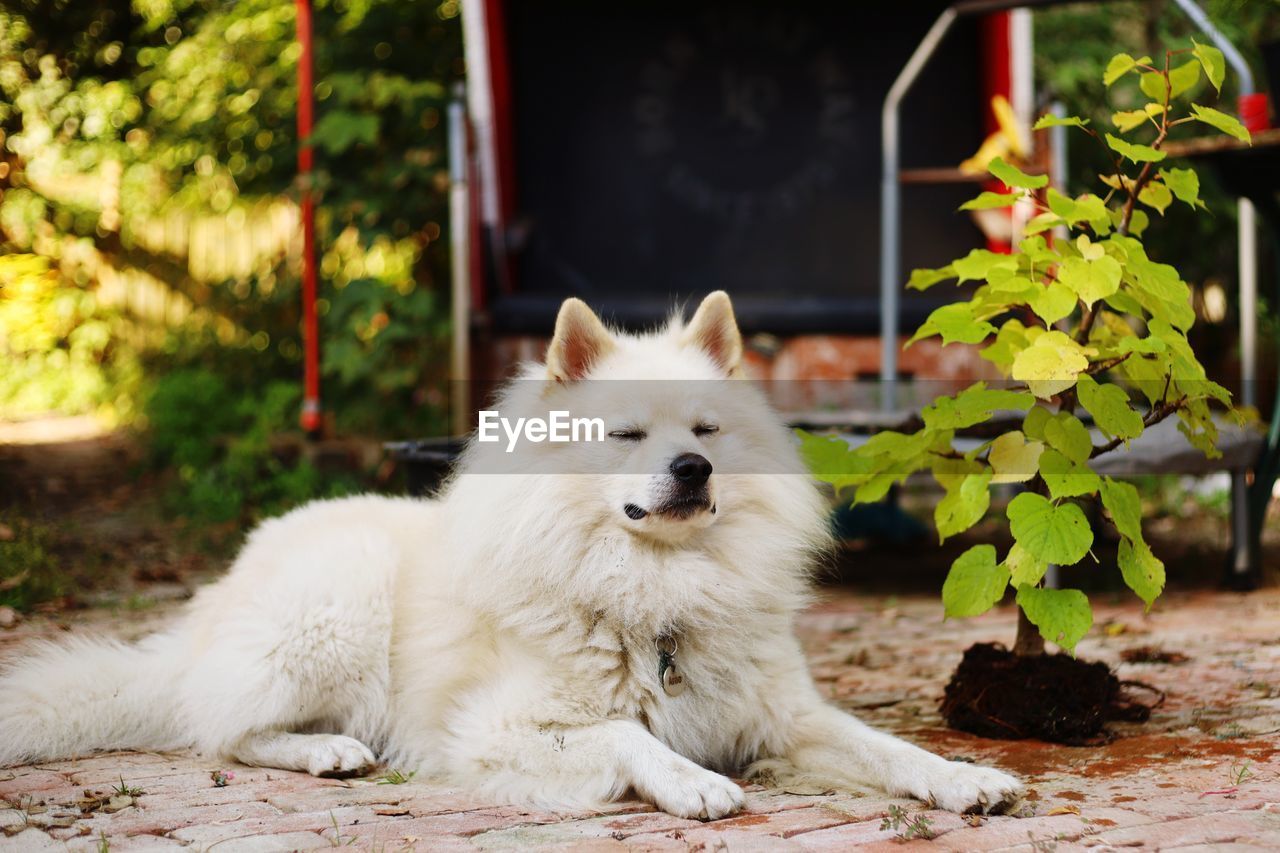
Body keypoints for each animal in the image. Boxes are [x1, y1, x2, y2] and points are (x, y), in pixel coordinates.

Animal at [0, 292, 1018, 819]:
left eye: (705, 431)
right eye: (624, 434)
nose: (691, 470)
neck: (654, 591)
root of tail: (210, 607)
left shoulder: (784, 715)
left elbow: (884, 745)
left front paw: (963, 775)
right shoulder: (493, 730)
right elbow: (624, 733)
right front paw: (693, 779)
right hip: (339, 609)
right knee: (225, 728)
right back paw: (328, 747)